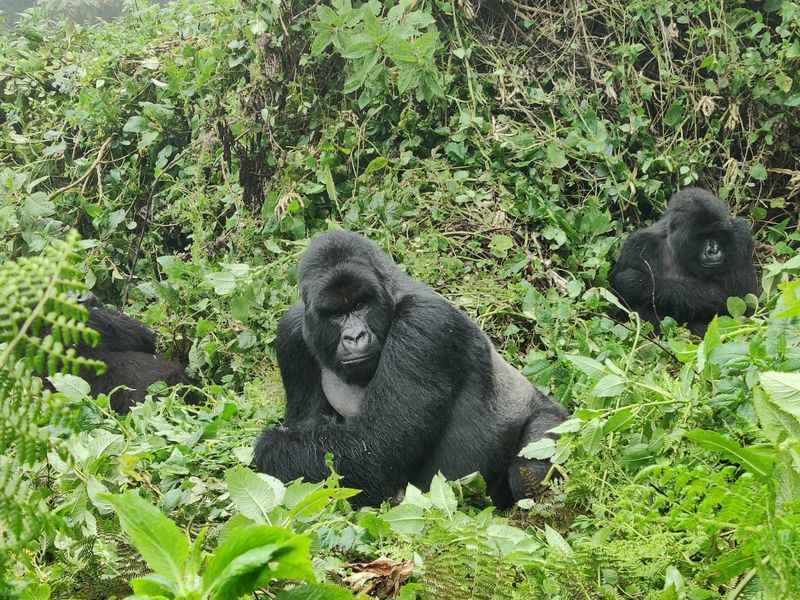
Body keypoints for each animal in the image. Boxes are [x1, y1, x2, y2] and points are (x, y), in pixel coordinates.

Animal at [253, 230, 572, 506]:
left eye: (361, 305)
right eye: (336, 313)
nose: (355, 336)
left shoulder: (424, 324)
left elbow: (374, 450)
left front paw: (269, 449)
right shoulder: (292, 333)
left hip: (559, 419)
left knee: (530, 461)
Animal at [608, 188, 760, 336]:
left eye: (718, 234)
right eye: (702, 236)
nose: (713, 250)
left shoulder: (741, 237)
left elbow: (742, 301)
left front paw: (643, 284)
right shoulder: (636, 246)